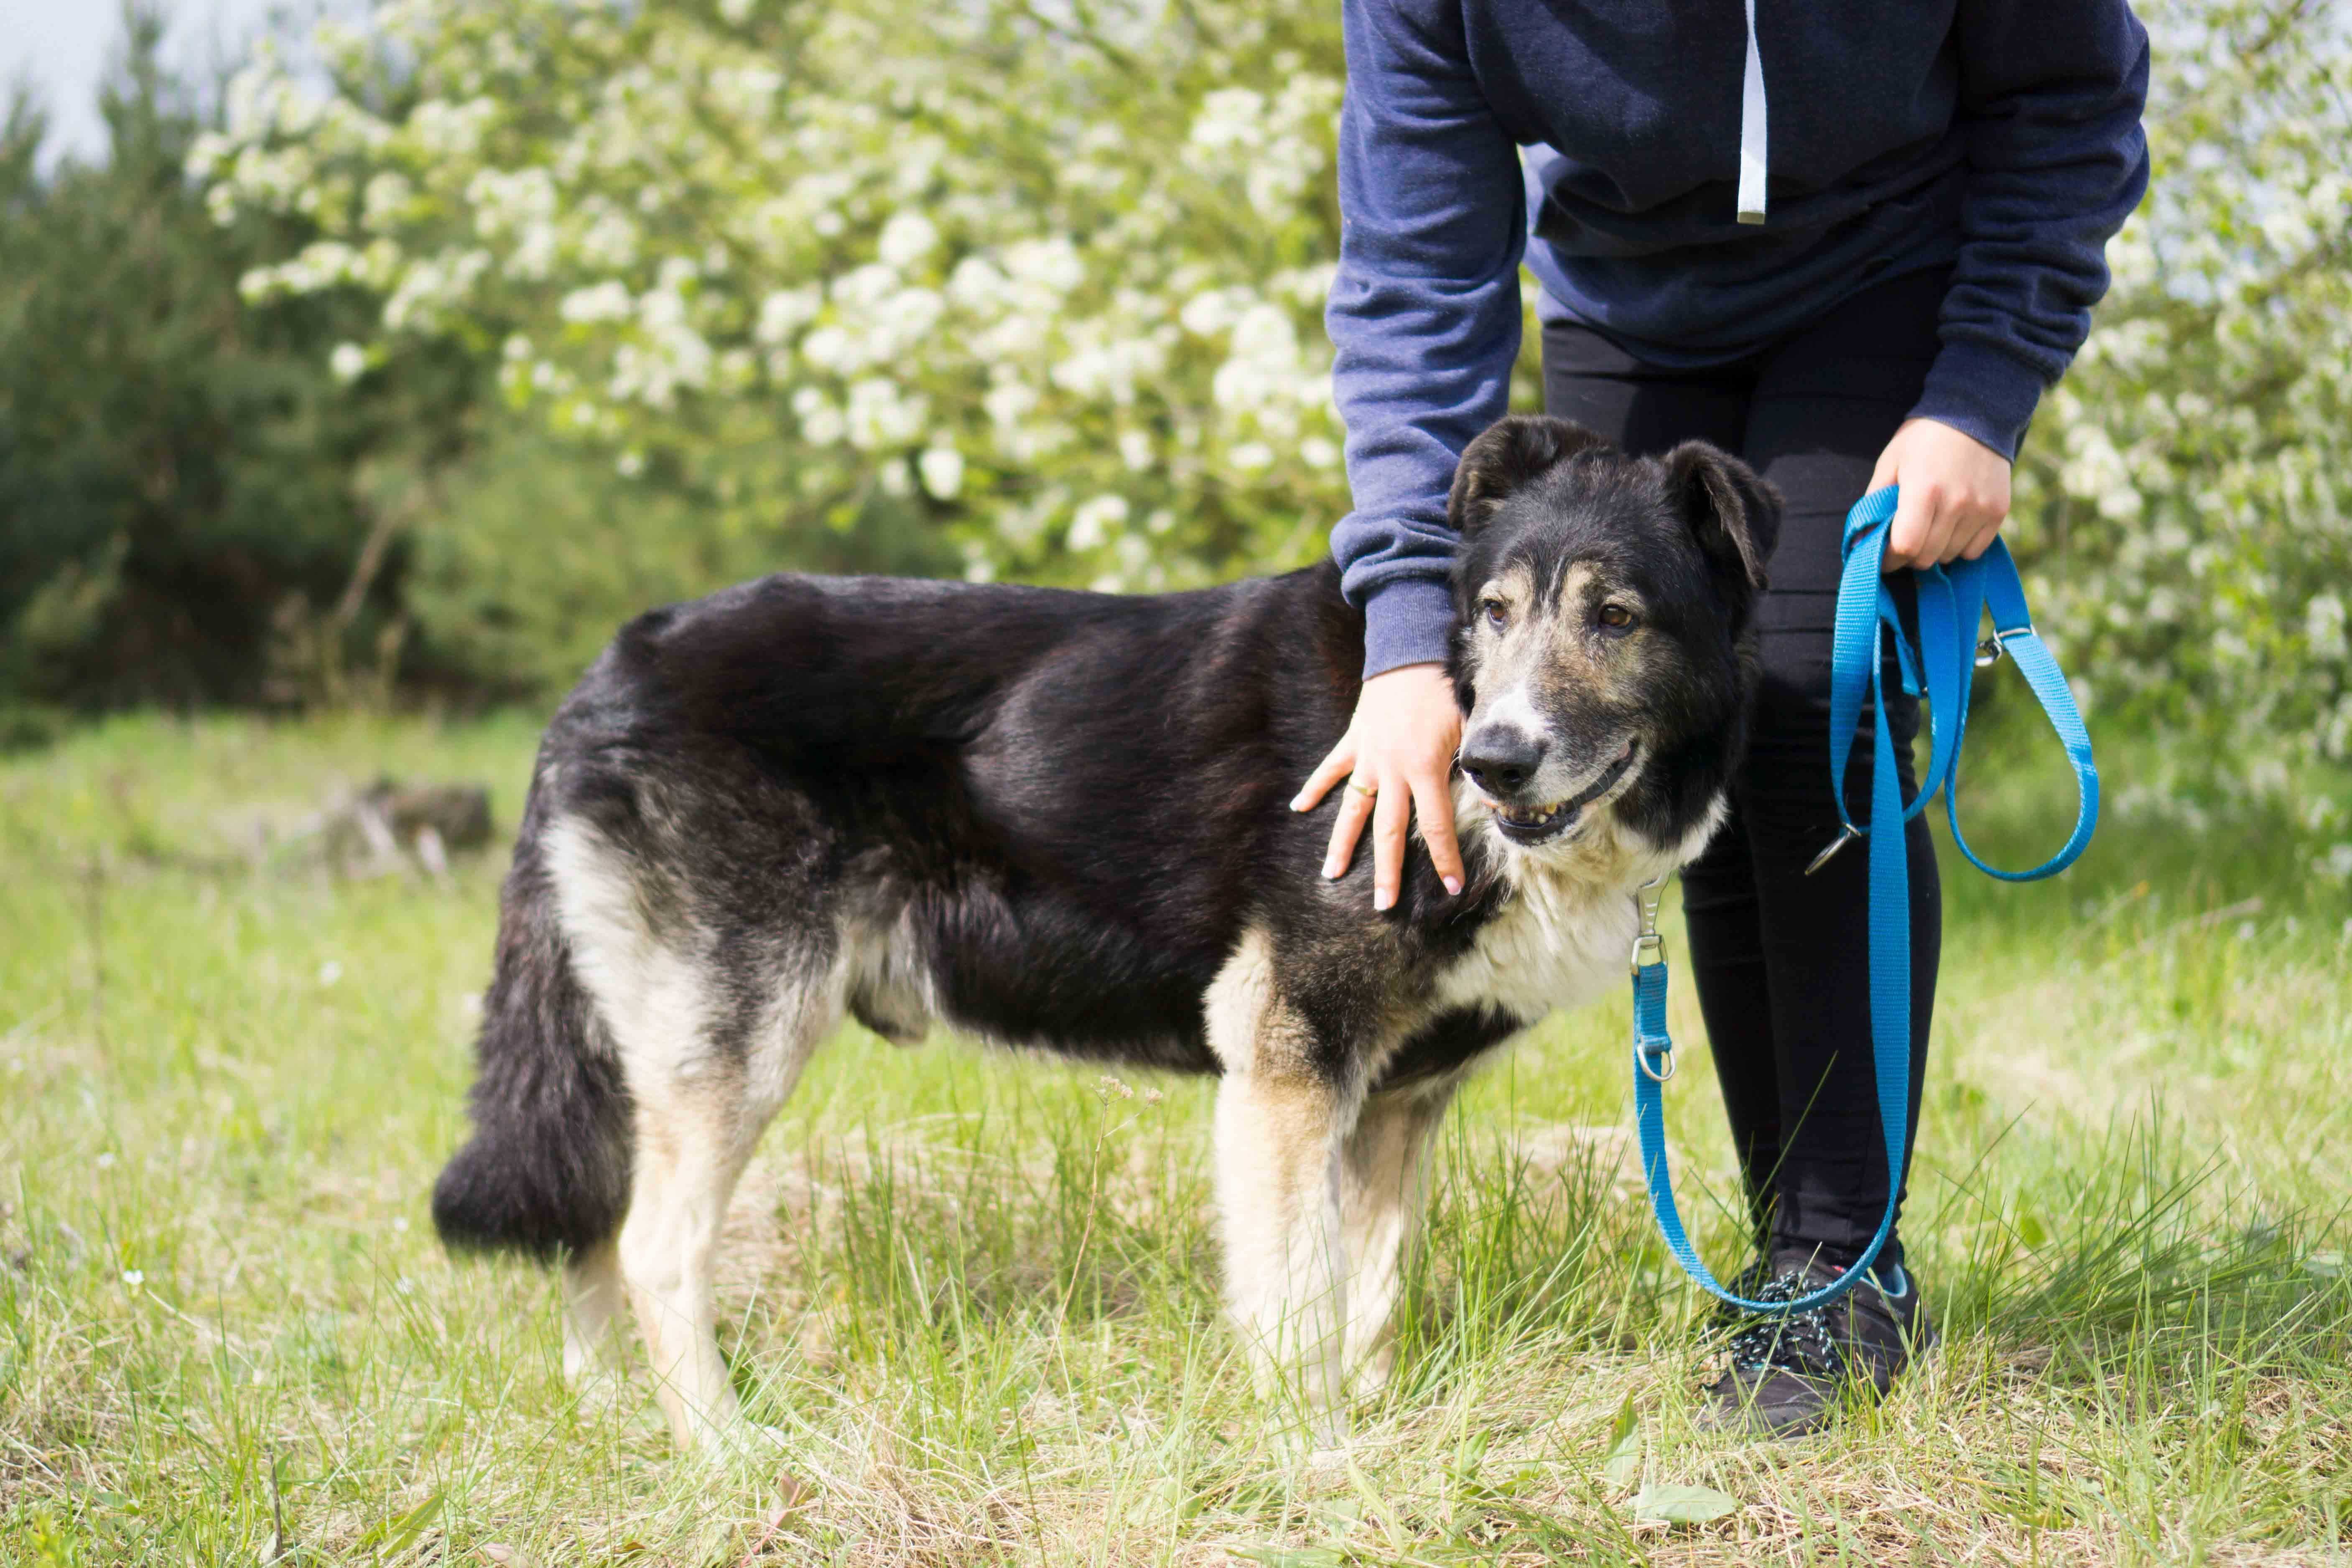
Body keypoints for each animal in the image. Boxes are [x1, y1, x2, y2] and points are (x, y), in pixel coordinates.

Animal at [433, 413, 1768, 1448]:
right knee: (655, 1244)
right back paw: (727, 1451)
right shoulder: (1285, 1058)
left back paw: (616, 1416)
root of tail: (610, 666)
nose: (1492, 760)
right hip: (739, 1031)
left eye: (1614, 616)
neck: (1430, 690)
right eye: (1490, 612)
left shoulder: (1393, 1097)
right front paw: (1314, 1460)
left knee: (596, 1223)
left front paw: (1374, 1428)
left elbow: (1373, 1290)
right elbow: (1295, 1294)